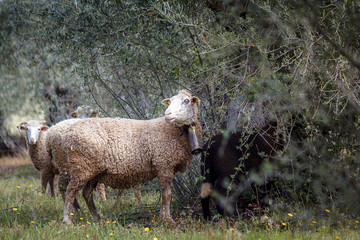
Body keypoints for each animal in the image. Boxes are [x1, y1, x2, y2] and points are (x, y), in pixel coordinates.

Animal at [57, 89, 201, 224]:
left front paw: (164, 217)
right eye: (170, 101)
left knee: (86, 193)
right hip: (81, 167)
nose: (168, 114)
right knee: (70, 190)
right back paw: (67, 220)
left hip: (93, 170)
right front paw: (167, 219)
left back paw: (97, 217)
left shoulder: (166, 166)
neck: (172, 130)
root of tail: (67, 133)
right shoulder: (164, 165)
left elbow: (166, 194)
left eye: (186, 101)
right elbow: (167, 194)